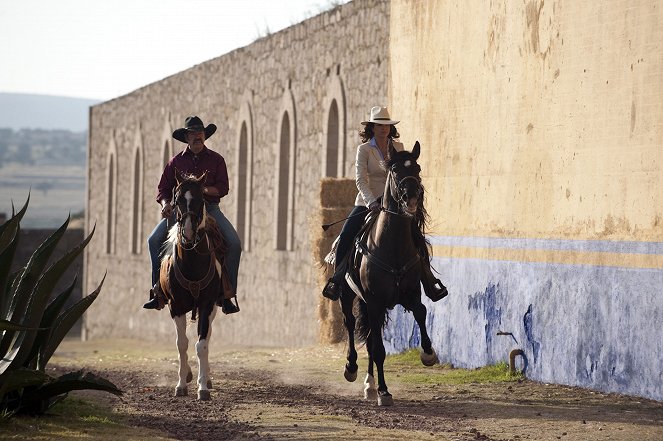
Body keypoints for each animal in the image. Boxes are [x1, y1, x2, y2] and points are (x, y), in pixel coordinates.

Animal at [160, 170, 227, 400]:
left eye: (200, 200)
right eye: (177, 199)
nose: (188, 233)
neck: (192, 264)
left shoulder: (207, 305)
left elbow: (202, 344)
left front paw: (203, 387)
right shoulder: (175, 306)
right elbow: (182, 344)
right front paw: (181, 384)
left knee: (207, 337)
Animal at [340, 141, 438, 406]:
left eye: (417, 168)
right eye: (394, 171)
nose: (411, 196)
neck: (391, 245)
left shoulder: (410, 294)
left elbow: (421, 312)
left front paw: (428, 353)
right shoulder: (374, 302)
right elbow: (379, 350)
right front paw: (384, 391)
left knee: (370, 338)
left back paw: (369, 385)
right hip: (348, 297)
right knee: (351, 325)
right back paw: (354, 370)